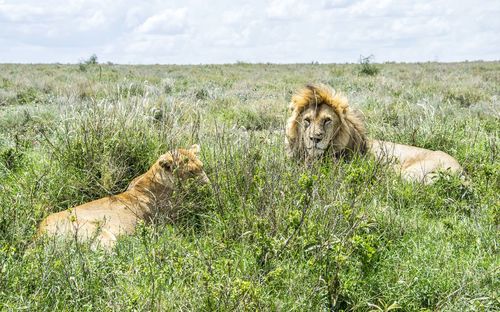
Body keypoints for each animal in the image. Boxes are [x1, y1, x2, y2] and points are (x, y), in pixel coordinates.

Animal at [37, 145, 209, 250]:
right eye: (191, 172)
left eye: (202, 167)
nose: (208, 185)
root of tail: (39, 233)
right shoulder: (169, 222)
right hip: (102, 235)